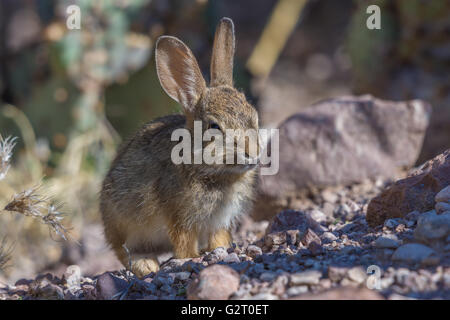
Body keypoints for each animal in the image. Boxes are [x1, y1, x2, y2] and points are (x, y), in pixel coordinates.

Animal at [99, 17, 260, 278]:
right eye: (214, 126)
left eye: (254, 116)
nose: (253, 154)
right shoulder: (180, 218)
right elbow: (184, 244)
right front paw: (190, 258)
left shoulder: (220, 221)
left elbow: (218, 239)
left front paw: (220, 250)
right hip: (122, 223)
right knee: (123, 251)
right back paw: (146, 265)